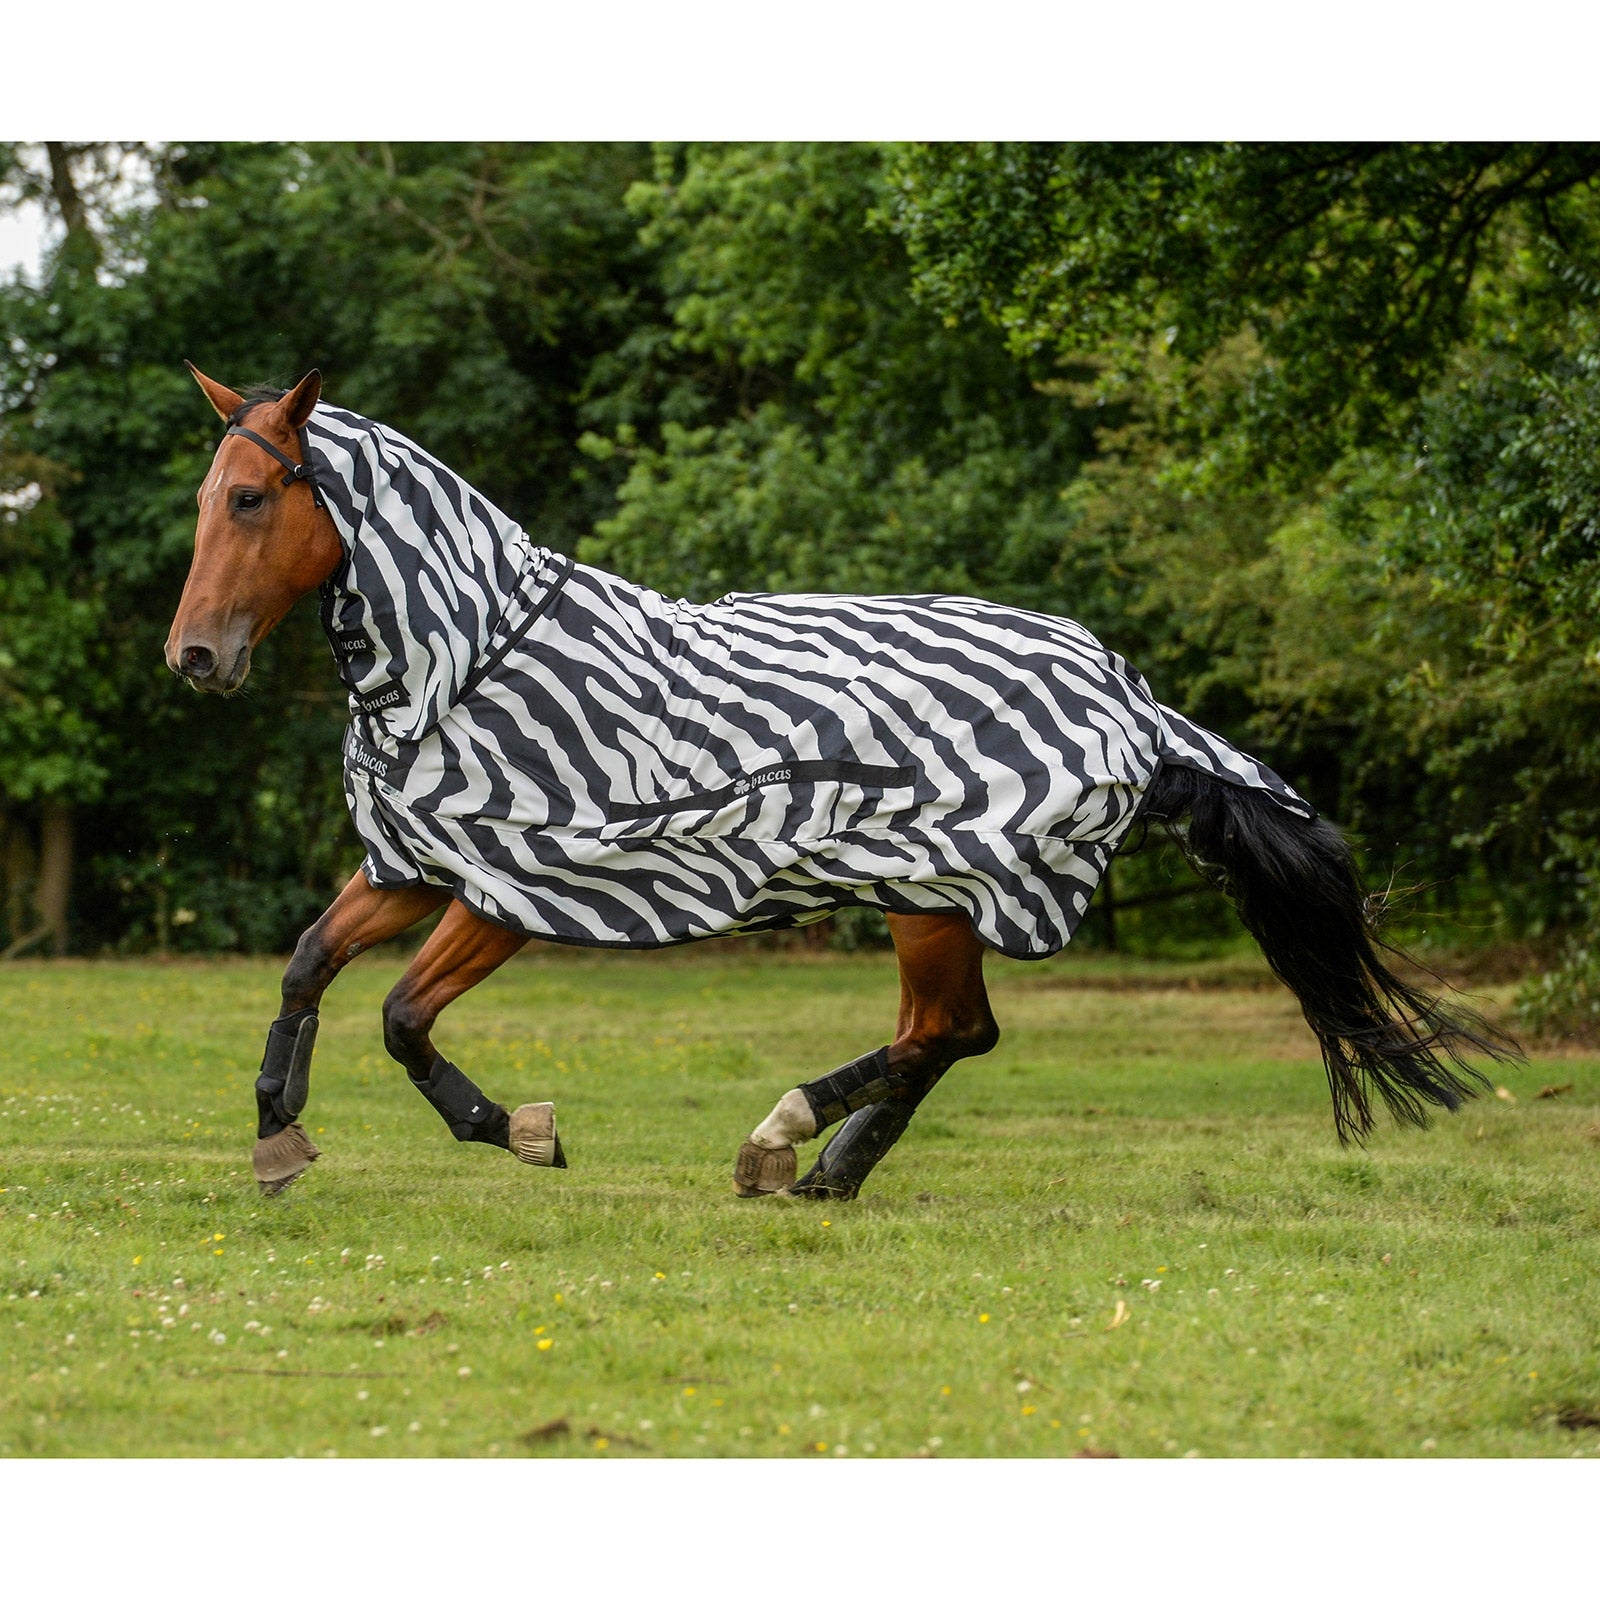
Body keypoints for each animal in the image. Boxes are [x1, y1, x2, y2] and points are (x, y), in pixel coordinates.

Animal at [166, 365, 1519, 1199]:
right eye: (204, 500)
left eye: (252, 496)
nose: (195, 659)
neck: (473, 656)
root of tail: (1127, 694)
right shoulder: (412, 864)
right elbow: (307, 965)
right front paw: (278, 1131)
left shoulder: (513, 882)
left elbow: (402, 1015)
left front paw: (518, 1131)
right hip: (933, 902)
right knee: (947, 1036)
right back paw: (822, 1169)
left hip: (936, 890)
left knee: (947, 1031)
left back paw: (787, 1138)